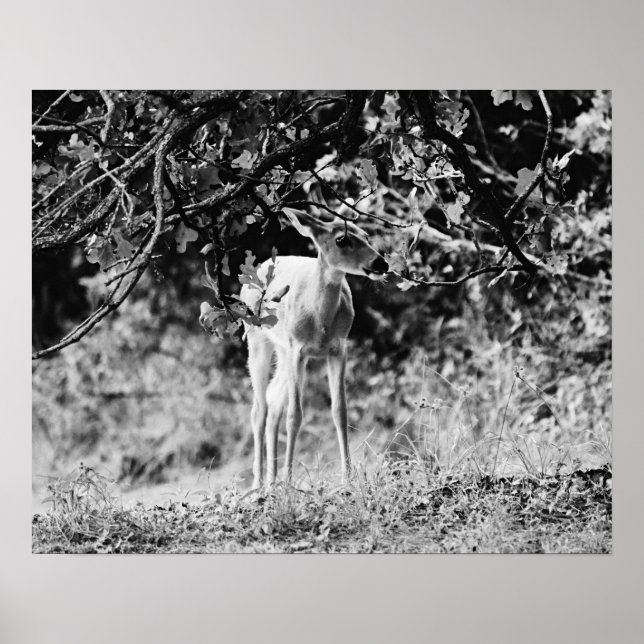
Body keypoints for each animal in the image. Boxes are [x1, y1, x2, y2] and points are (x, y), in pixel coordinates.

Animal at [209, 207, 389, 489]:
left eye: (367, 235)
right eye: (341, 239)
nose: (381, 263)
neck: (320, 319)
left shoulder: (338, 348)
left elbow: (340, 411)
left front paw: (348, 479)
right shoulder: (298, 350)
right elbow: (295, 416)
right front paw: (290, 482)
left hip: (283, 351)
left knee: (273, 402)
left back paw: (272, 481)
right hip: (258, 339)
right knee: (259, 408)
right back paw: (259, 484)